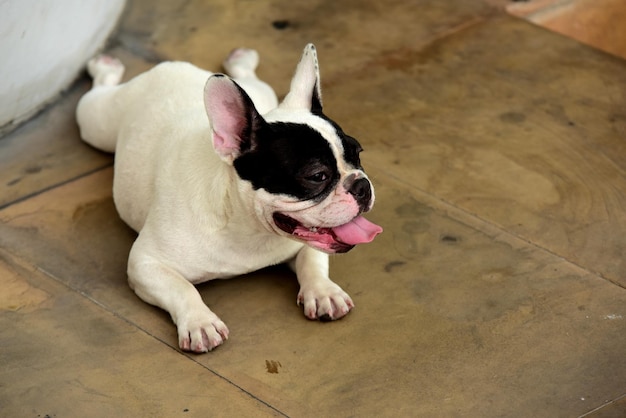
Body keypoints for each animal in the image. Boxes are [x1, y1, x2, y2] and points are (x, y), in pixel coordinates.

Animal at [77, 45, 380, 352]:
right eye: (317, 176)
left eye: (358, 154)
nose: (362, 185)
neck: (244, 226)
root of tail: (174, 66)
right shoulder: (145, 263)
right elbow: (182, 288)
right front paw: (200, 322)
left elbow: (312, 260)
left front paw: (322, 292)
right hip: (97, 122)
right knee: (97, 92)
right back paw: (105, 66)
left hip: (263, 94)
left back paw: (241, 60)